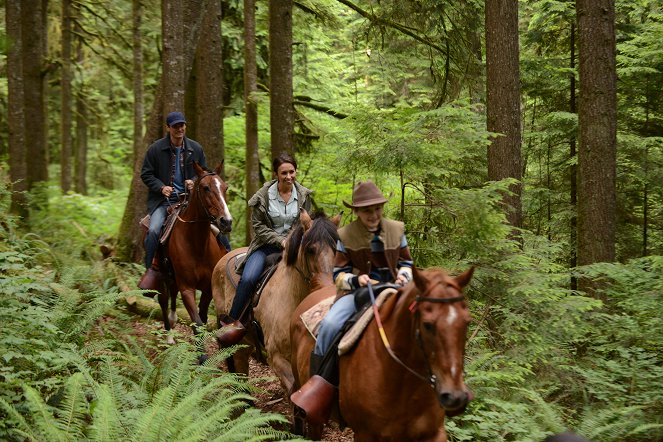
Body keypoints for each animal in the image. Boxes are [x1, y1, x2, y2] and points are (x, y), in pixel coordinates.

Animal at [157, 162, 232, 346]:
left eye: (225, 187)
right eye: (205, 188)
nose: (226, 222)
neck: (197, 245)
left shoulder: (208, 289)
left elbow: (203, 319)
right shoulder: (187, 288)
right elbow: (197, 323)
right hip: (162, 275)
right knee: (163, 300)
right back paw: (169, 336)